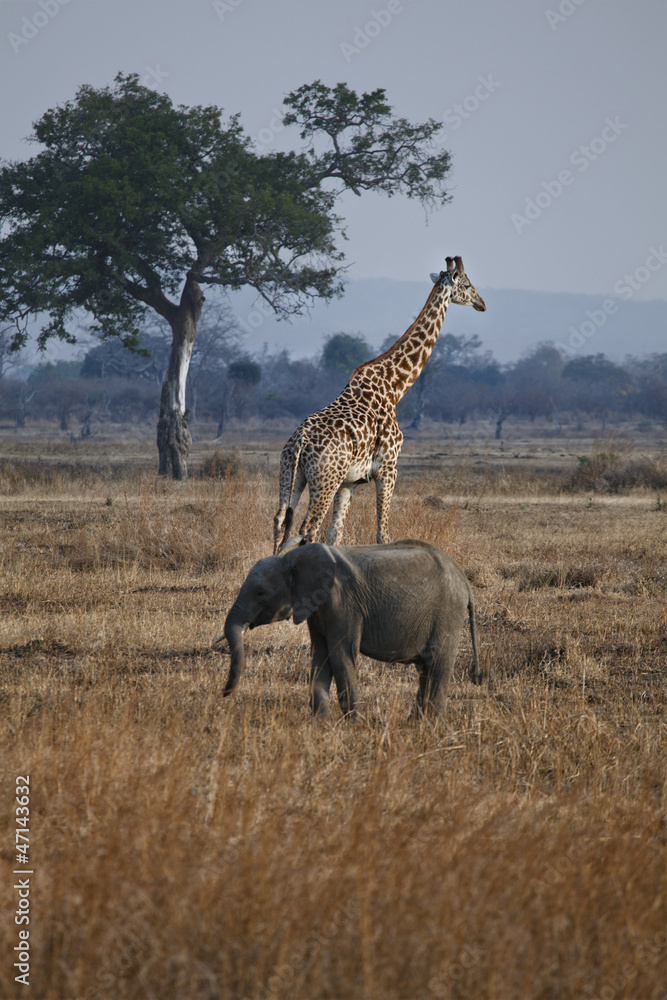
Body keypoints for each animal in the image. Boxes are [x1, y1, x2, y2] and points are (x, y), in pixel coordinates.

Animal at [215, 538, 481, 719]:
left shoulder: (343, 604)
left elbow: (341, 656)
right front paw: (319, 724)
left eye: (261, 593)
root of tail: (465, 582)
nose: (224, 694)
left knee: (438, 664)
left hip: (447, 613)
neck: (295, 558)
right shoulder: (317, 608)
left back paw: (431, 724)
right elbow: (320, 657)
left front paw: (354, 723)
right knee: (426, 668)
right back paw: (415, 723)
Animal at [273, 256, 486, 553]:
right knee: (307, 530)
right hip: (325, 481)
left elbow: (336, 534)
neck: (394, 387)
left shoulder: (350, 482)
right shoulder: (388, 467)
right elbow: (382, 534)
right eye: (466, 284)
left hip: (291, 475)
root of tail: (301, 441)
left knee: (281, 521)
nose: (482, 303)